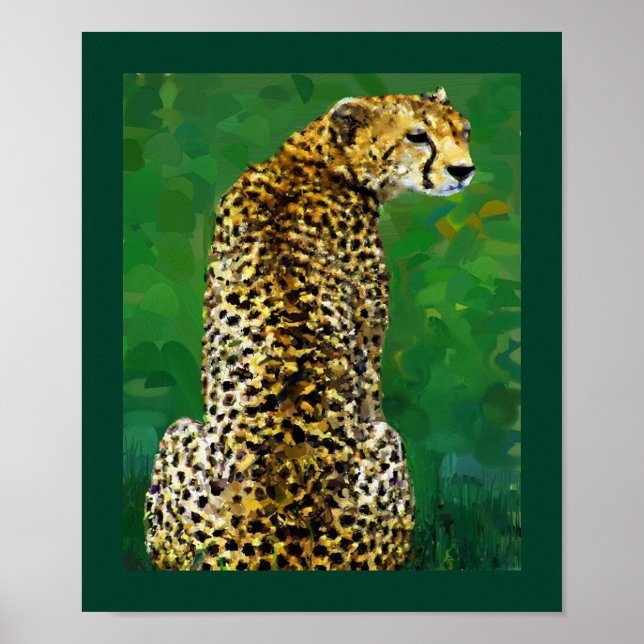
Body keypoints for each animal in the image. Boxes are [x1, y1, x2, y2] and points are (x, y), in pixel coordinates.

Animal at [144, 87, 475, 570]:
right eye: (418, 136)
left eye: (462, 131)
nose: (463, 170)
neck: (315, 160)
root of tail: (286, 549)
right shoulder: (368, 355)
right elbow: (370, 395)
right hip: (183, 434)